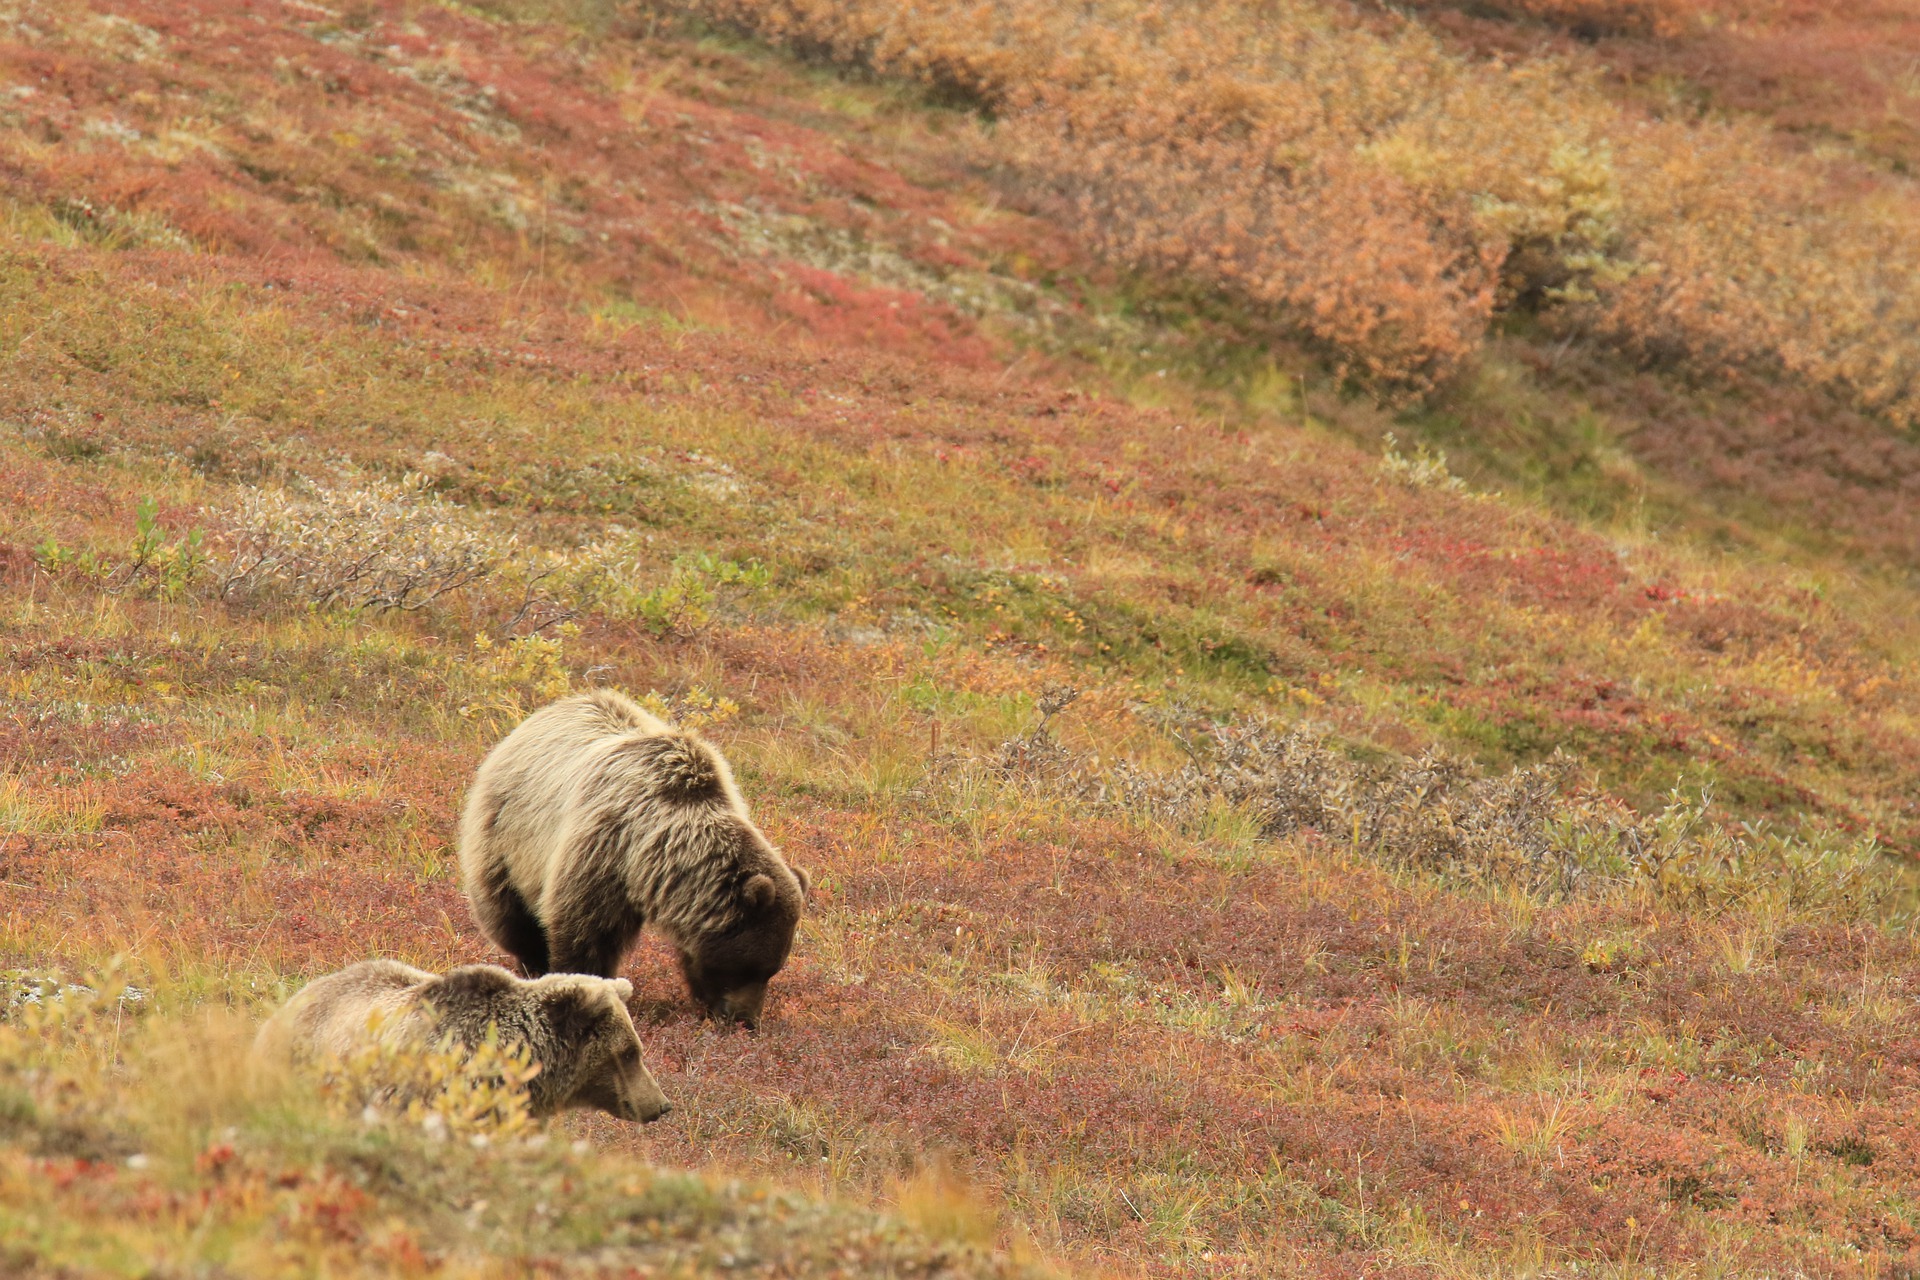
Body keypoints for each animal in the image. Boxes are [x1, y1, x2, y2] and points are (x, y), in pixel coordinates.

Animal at [462, 690, 810, 1028]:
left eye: (773, 969)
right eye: (750, 967)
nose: (746, 1020)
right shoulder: (602, 849)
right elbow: (584, 933)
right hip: (505, 834)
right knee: (509, 913)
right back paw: (530, 965)